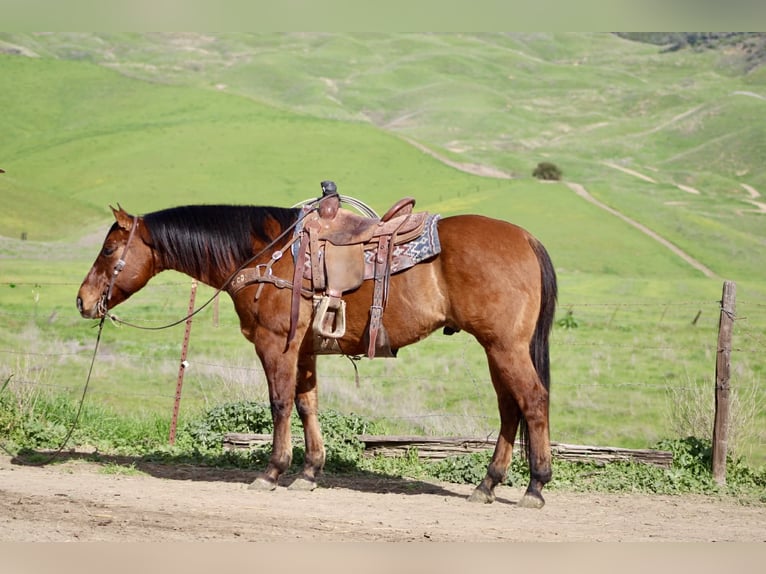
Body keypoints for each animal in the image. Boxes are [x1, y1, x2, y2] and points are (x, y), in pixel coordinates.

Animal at [76, 196, 557, 508]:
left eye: (108, 249)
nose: (83, 300)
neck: (266, 255)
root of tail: (527, 239)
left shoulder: (276, 343)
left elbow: (280, 403)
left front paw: (272, 471)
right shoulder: (305, 350)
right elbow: (308, 405)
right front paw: (309, 472)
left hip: (506, 347)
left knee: (532, 402)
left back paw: (534, 487)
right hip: (496, 349)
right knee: (509, 409)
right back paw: (487, 486)